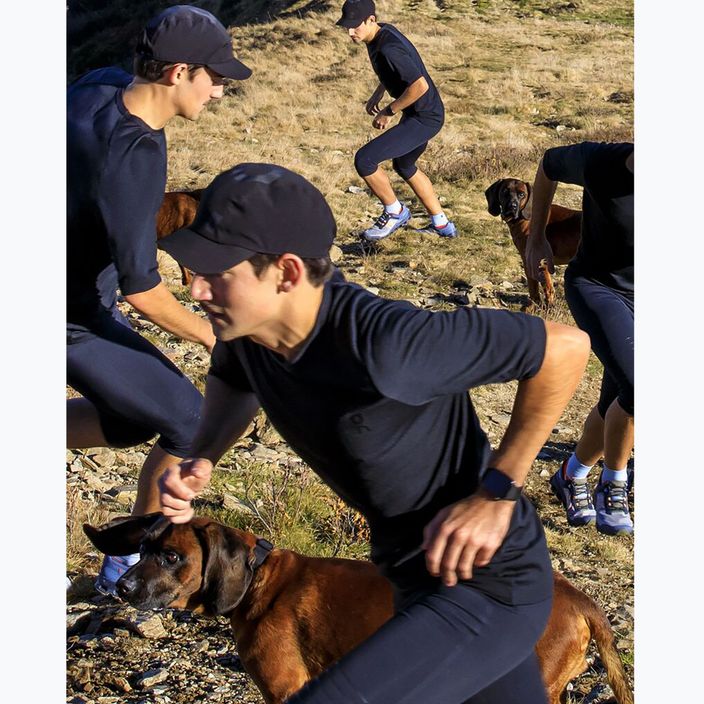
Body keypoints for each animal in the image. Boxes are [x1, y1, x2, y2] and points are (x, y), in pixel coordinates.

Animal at [84, 512, 632, 704]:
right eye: (144, 546)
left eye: (172, 556)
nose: (121, 588)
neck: (259, 580)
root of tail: (579, 597)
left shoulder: (288, 689)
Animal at [486, 177, 580, 310]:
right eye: (505, 191)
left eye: (522, 194)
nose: (512, 207)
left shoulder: (533, 261)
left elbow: (537, 287)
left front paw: (535, 306)